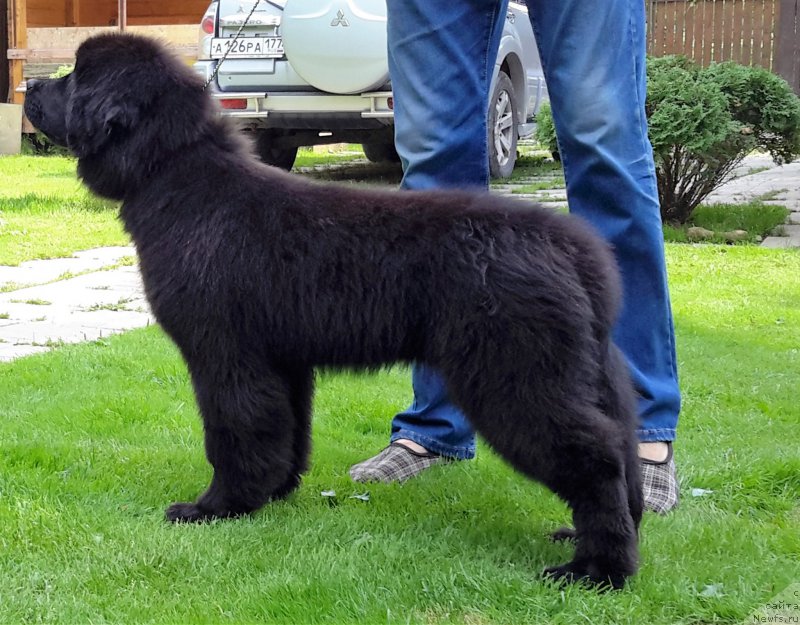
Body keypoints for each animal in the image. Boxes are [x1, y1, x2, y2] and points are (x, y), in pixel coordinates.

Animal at [26, 34, 644, 588]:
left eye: (74, 77)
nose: (29, 86)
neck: (175, 175)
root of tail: (571, 247)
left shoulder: (224, 354)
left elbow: (232, 432)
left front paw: (216, 507)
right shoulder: (282, 361)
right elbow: (284, 432)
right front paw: (272, 493)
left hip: (516, 375)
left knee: (596, 459)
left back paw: (597, 570)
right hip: (585, 370)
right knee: (622, 445)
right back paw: (591, 538)